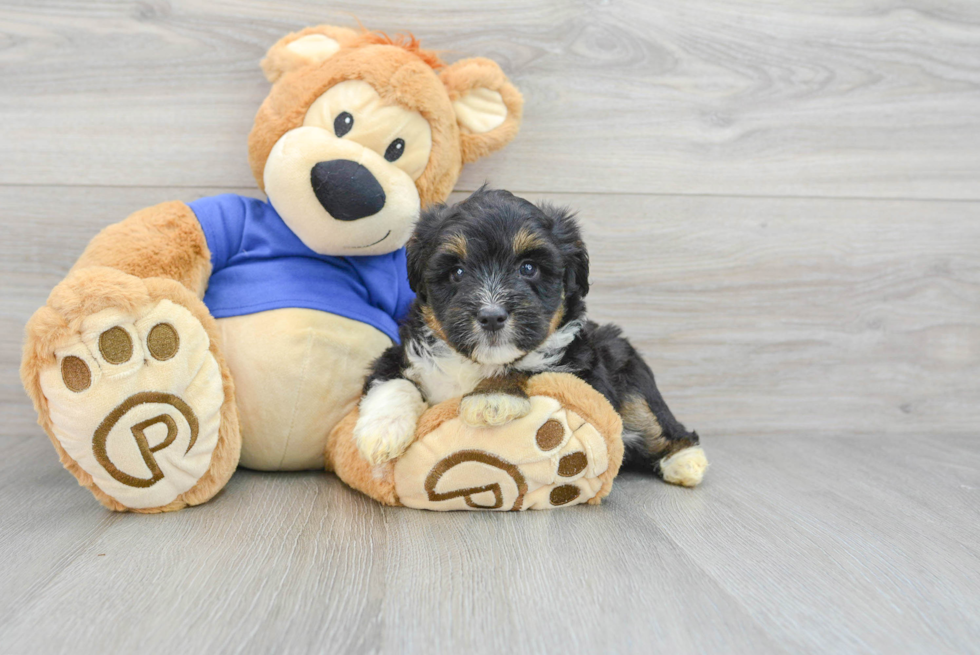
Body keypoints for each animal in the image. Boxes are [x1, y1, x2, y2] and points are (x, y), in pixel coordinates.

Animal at [356, 186, 708, 486]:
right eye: (456, 272)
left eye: (528, 268)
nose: (491, 316)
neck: (477, 363)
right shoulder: (401, 352)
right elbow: (393, 380)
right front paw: (381, 433)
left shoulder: (583, 372)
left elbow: (529, 366)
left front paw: (491, 399)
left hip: (629, 376)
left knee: (656, 424)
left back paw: (686, 461)